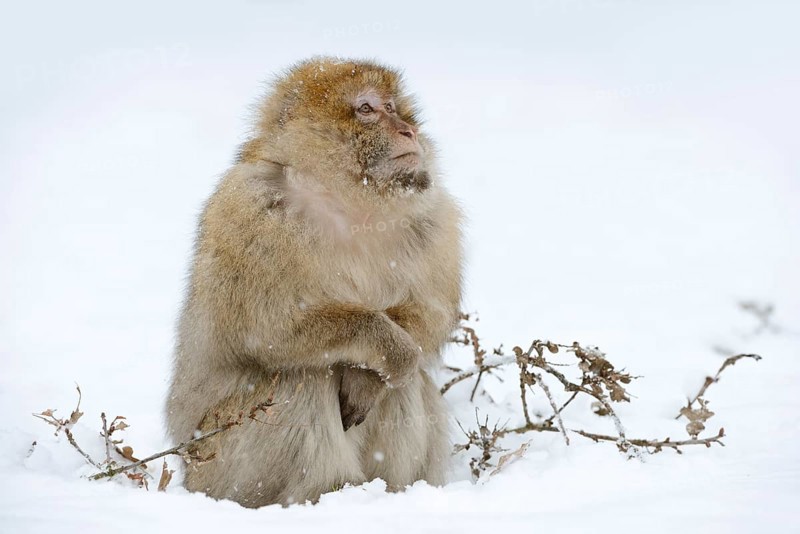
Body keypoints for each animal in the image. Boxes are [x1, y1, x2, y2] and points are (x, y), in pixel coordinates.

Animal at [165, 56, 463, 508]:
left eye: (393, 107)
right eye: (366, 109)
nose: (408, 131)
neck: (347, 203)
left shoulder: (435, 219)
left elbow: (430, 313)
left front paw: (368, 377)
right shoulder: (251, 215)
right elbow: (267, 328)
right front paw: (385, 345)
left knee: (405, 382)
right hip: (221, 465)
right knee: (305, 374)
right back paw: (331, 488)